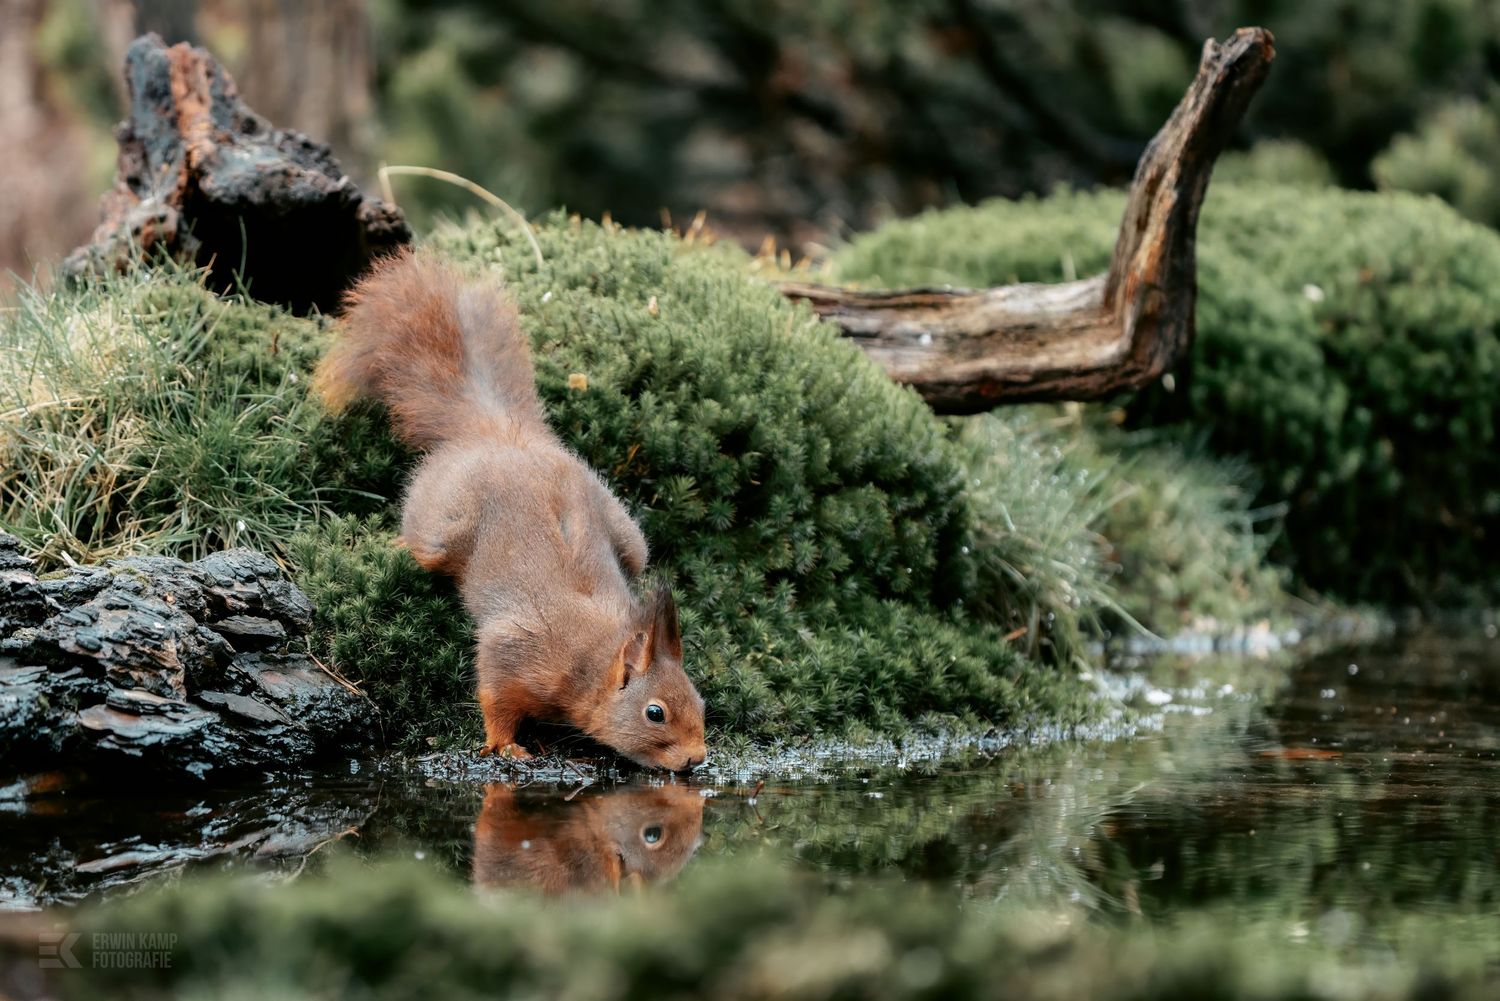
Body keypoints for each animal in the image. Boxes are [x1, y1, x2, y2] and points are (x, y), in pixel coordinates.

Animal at [316, 250, 707, 772]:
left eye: (700, 700)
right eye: (655, 713)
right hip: (444, 524)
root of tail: (497, 431)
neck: (593, 655)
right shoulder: (515, 648)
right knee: (426, 545)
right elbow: (495, 696)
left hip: (630, 539)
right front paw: (505, 743)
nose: (697, 759)